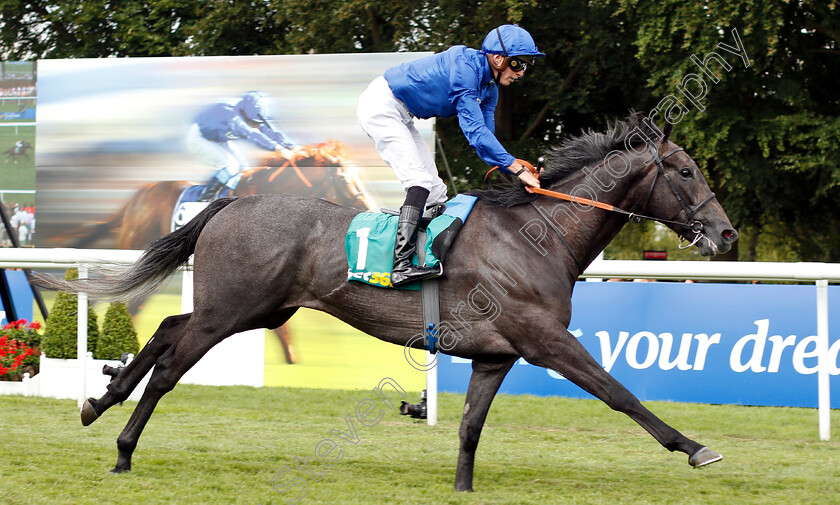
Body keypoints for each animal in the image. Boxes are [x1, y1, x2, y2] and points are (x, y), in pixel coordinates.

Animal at [31, 114, 736, 488]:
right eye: (684, 171)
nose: (726, 234)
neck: (538, 234)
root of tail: (231, 202)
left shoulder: (496, 354)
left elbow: (471, 424)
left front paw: (462, 485)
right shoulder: (546, 341)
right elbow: (619, 393)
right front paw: (695, 446)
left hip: (256, 310)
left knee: (169, 328)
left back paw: (99, 402)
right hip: (230, 311)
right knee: (172, 364)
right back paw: (122, 446)